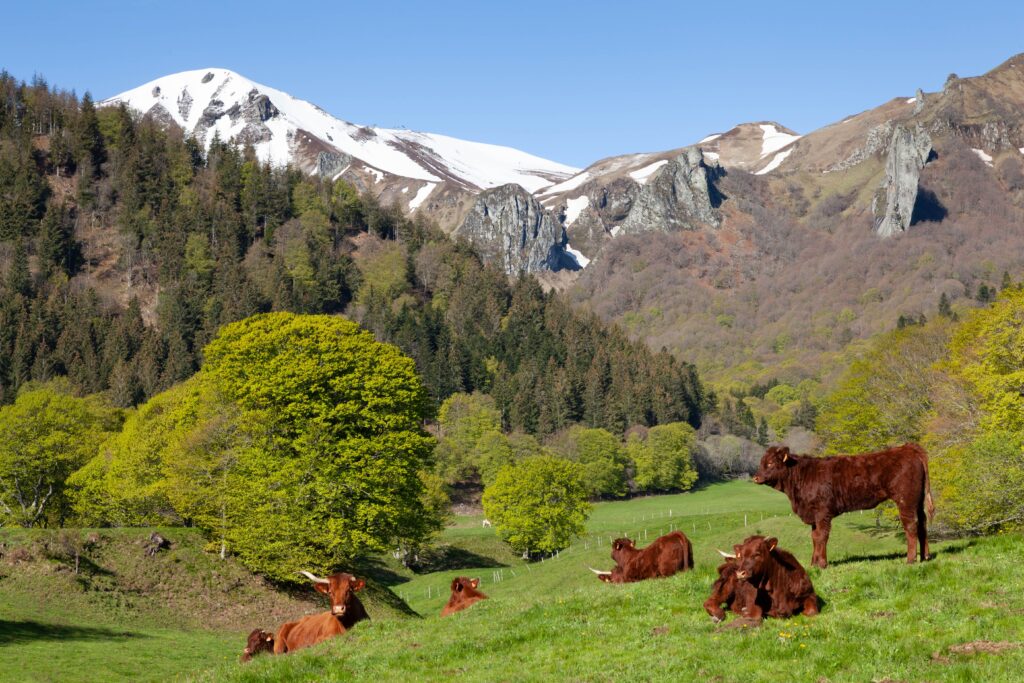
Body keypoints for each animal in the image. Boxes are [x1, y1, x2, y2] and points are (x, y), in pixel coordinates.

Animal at [753, 443, 935, 567]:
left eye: (770, 463)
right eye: (761, 462)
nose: (755, 477)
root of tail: (908, 448)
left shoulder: (823, 512)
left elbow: (821, 536)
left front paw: (822, 563)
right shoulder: (813, 515)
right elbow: (814, 537)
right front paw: (813, 564)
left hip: (906, 501)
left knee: (911, 526)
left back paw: (910, 559)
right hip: (918, 501)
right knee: (923, 524)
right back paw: (925, 556)